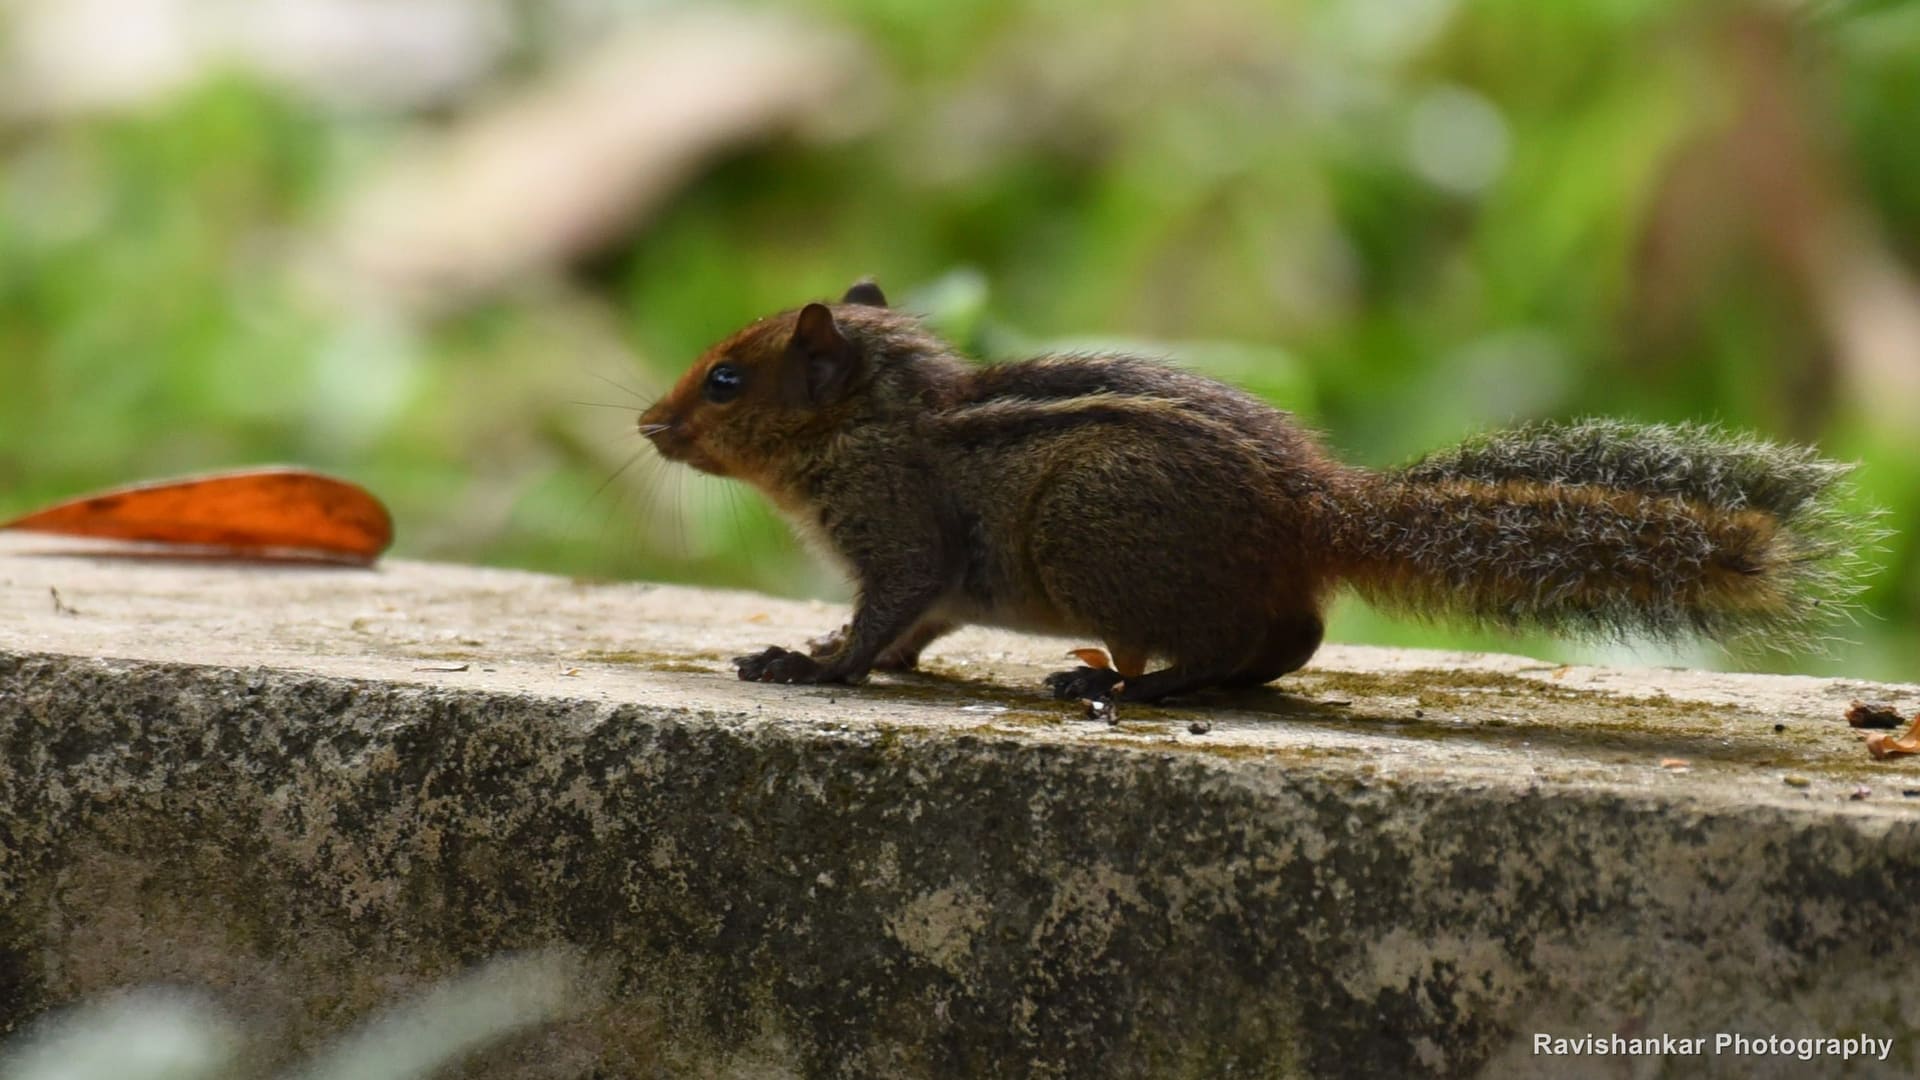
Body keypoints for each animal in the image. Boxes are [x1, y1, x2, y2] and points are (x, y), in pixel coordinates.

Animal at [638, 279, 1875, 703]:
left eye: (726, 379)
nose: (647, 424)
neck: (875, 421)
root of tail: (1313, 507)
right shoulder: (937, 582)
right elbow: (914, 627)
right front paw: (853, 656)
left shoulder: (898, 532)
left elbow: (886, 610)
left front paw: (811, 663)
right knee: (1292, 638)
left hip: (1095, 545)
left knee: (1241, 640)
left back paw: (1132, 686)